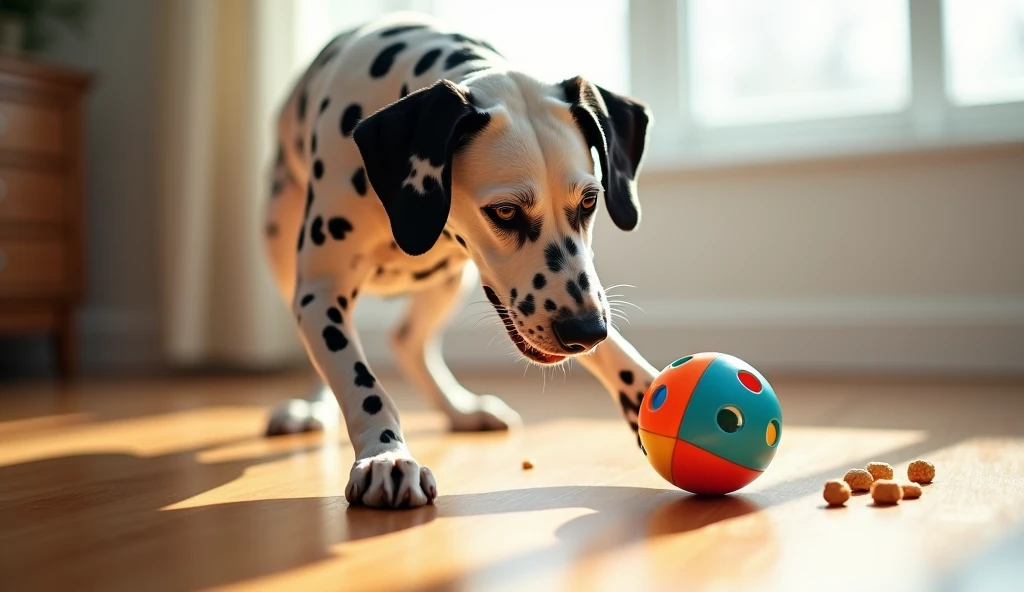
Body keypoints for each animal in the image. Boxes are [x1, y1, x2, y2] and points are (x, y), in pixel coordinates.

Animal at [262, 11, 655, 503]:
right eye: (504, 211)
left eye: (589, 201)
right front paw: (386, 455)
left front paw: (649, 394)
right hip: (281, 243)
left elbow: (619, 352)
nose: (585, 332)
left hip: (452, 280)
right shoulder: (320, 291)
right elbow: (359, 382)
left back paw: (458, 409)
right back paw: (313, 408)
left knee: (406, 340)